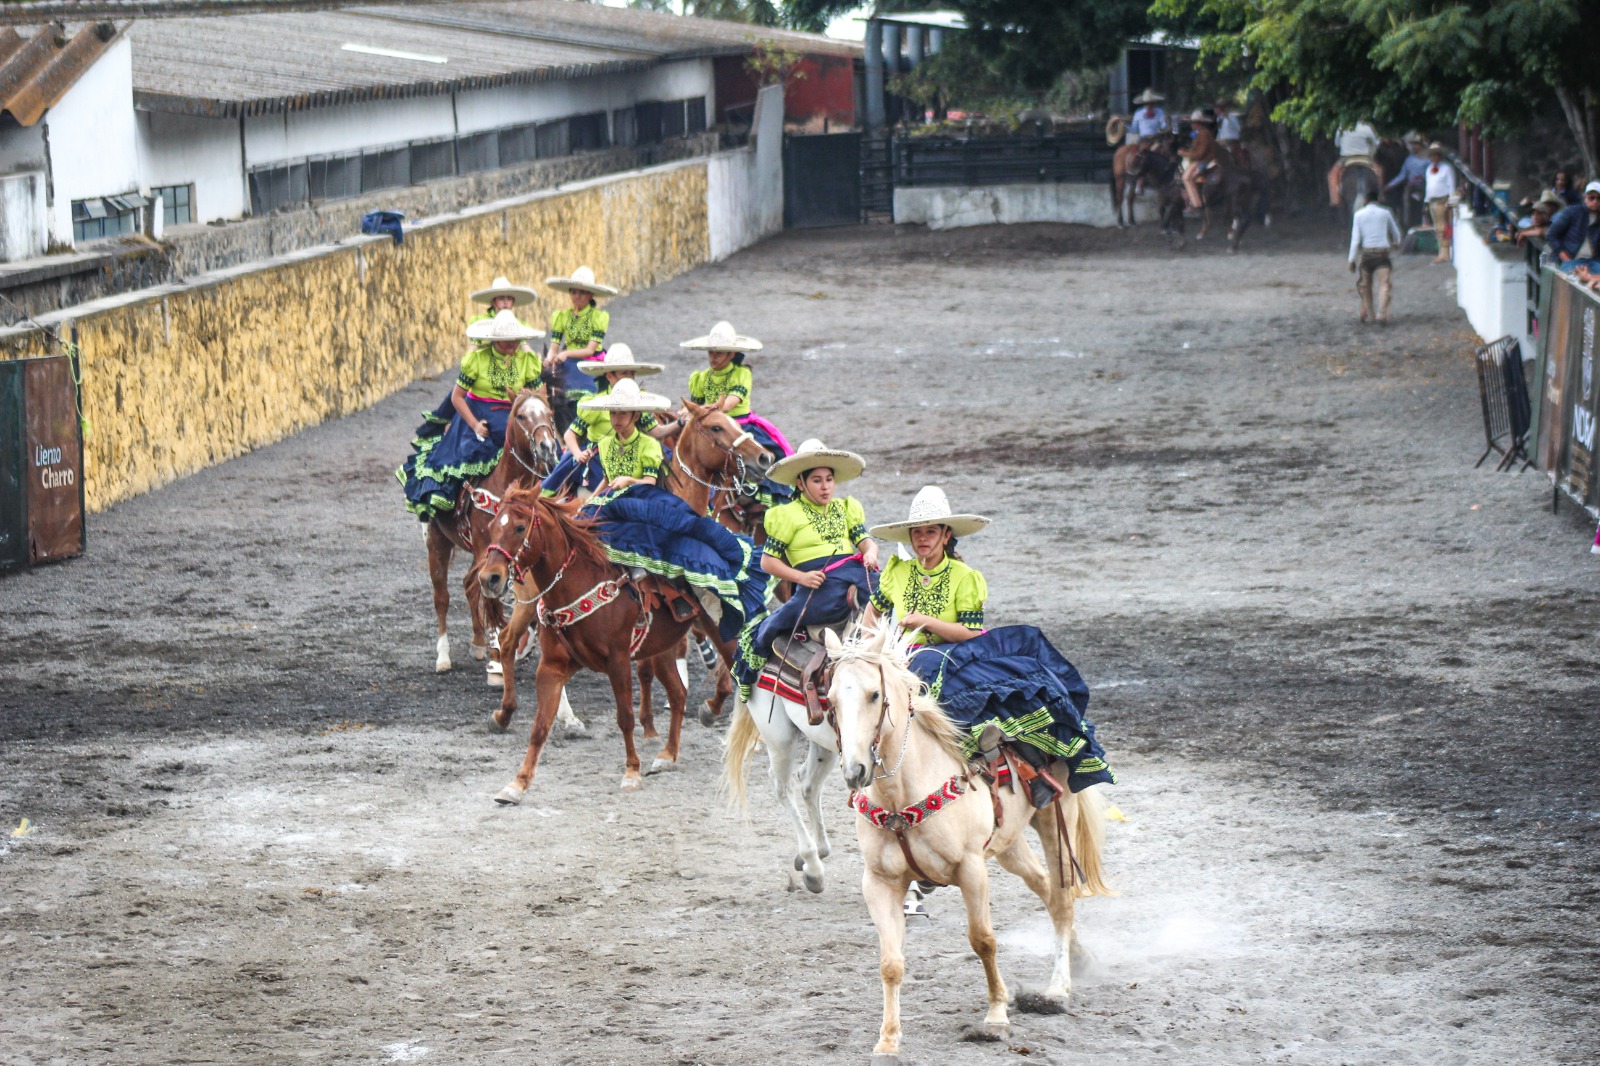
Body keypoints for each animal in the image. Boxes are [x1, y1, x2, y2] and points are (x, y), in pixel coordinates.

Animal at [422, 390, 560, 672]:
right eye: (521, 416)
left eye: (549, 413)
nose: (547, 447)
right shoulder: (490, 554)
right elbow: (492, 598)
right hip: (438, 542)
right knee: (442, 597)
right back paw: (443, 656)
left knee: (470, 585)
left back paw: (477, 642)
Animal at [473, 486, 742, 793]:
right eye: (492, 527)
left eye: (519, 527)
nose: (489, 578)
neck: (577, 585)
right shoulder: (552, 667)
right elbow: (540, 725)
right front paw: (517, 784)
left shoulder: (618, 661)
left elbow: (625, 717)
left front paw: (632, 771)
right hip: (661, 648)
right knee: (678, 693)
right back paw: (668, 754)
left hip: (724, 635)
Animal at [825, 617, 1113, 1056]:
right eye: (829, 701)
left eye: (875, 695)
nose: (855, 770)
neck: (901, 797)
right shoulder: (878, 882)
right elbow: (890, 962)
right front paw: (888, 1039)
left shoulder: (971, 869)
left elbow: (983, 941)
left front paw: (995, 1017)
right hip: (1009, 844)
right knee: (1046, 888)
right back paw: (1079, 959)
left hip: (1054, 817)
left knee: (1062, 900)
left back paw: (1057, 989)